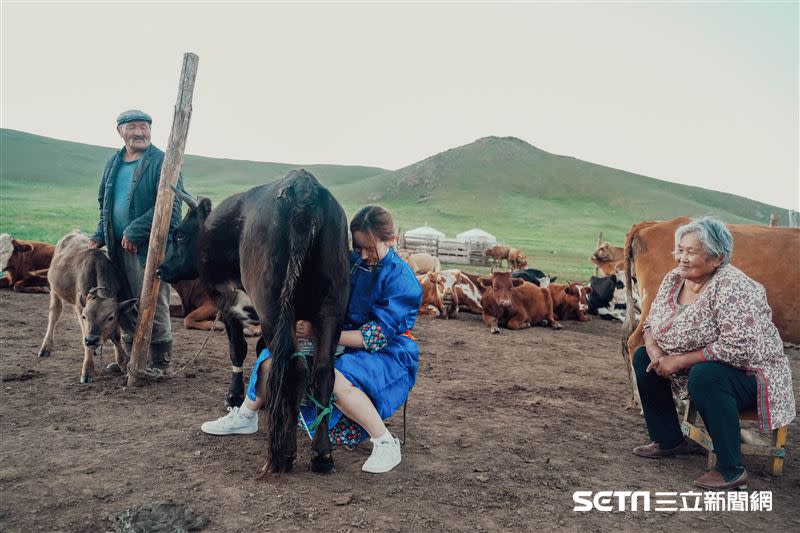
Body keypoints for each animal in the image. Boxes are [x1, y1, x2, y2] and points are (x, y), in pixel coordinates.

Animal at [36, 231, 135, 380]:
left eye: (110, 317)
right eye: (84, 317)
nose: (92, 340)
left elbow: (116, 336)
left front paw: (122, 363)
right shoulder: (79, 308)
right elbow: (85, 333)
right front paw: (87, 370)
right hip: (54, 290)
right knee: (54, 314)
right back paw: (45, 348)